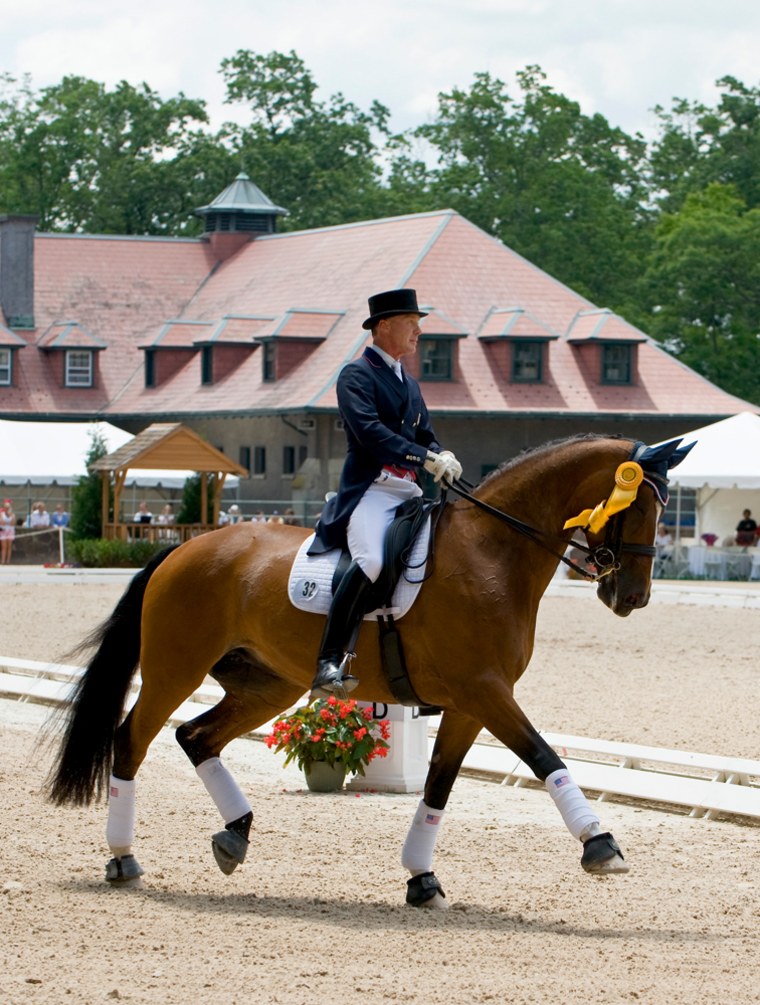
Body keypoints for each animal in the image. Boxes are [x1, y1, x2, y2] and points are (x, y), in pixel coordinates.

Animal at [44, 432, 691, 912]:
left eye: (666, 507)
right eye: (636, 504)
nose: (632, 597)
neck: (493, 551)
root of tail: (183, 549)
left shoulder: (470, 703)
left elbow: (438, 787)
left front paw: (421, 880)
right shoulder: (485, 691)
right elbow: (544, 756)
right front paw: (601, 843)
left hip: (266, 685)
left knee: (195, 735)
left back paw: (235, 834)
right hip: (174, 670)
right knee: (133, 740)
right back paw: (123, 857)